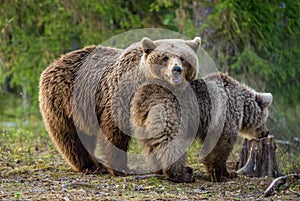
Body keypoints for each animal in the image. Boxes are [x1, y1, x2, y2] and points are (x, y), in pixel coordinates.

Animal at [38, 36, 200, 182]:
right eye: (165, 57)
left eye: (183, 58)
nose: (176, 69)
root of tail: (54, 62)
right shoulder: (120, 98)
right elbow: (115, 132)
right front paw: (120, 168)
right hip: (64, 101)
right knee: (70, 136)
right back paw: (91, 165)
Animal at [131, 72, 272, 182]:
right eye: (265, 119)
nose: (266, 132)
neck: (242, 105)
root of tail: (145, 95)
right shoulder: (225, 117)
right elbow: (221, 144)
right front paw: (219, 174)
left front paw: (229, 173)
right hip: (171, 112)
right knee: (171, 143)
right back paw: (181, 175)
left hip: (143, 123)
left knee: (151, 145)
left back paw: (162, 169)